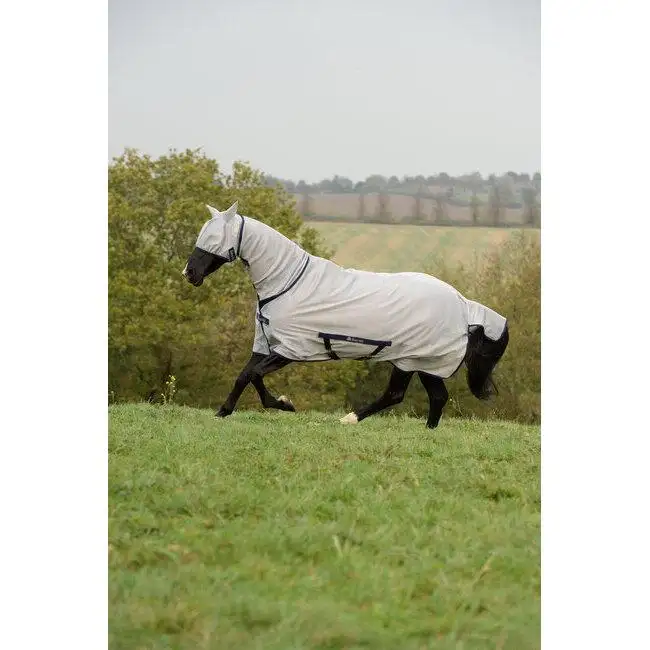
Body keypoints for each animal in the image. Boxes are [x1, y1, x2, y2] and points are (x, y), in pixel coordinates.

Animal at [183, 202, 509, 429]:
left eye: (213, 238)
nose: (189, 274)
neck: (288, 283)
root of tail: (463, 304)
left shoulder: (290, 350)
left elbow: (252, 375)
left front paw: (285, 404)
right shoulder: (265, 344)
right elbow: (245, 376)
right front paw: (224, 412)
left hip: (415, 359)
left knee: (402, 395)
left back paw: (351, 419)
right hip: (420, 362)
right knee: (429, 397)